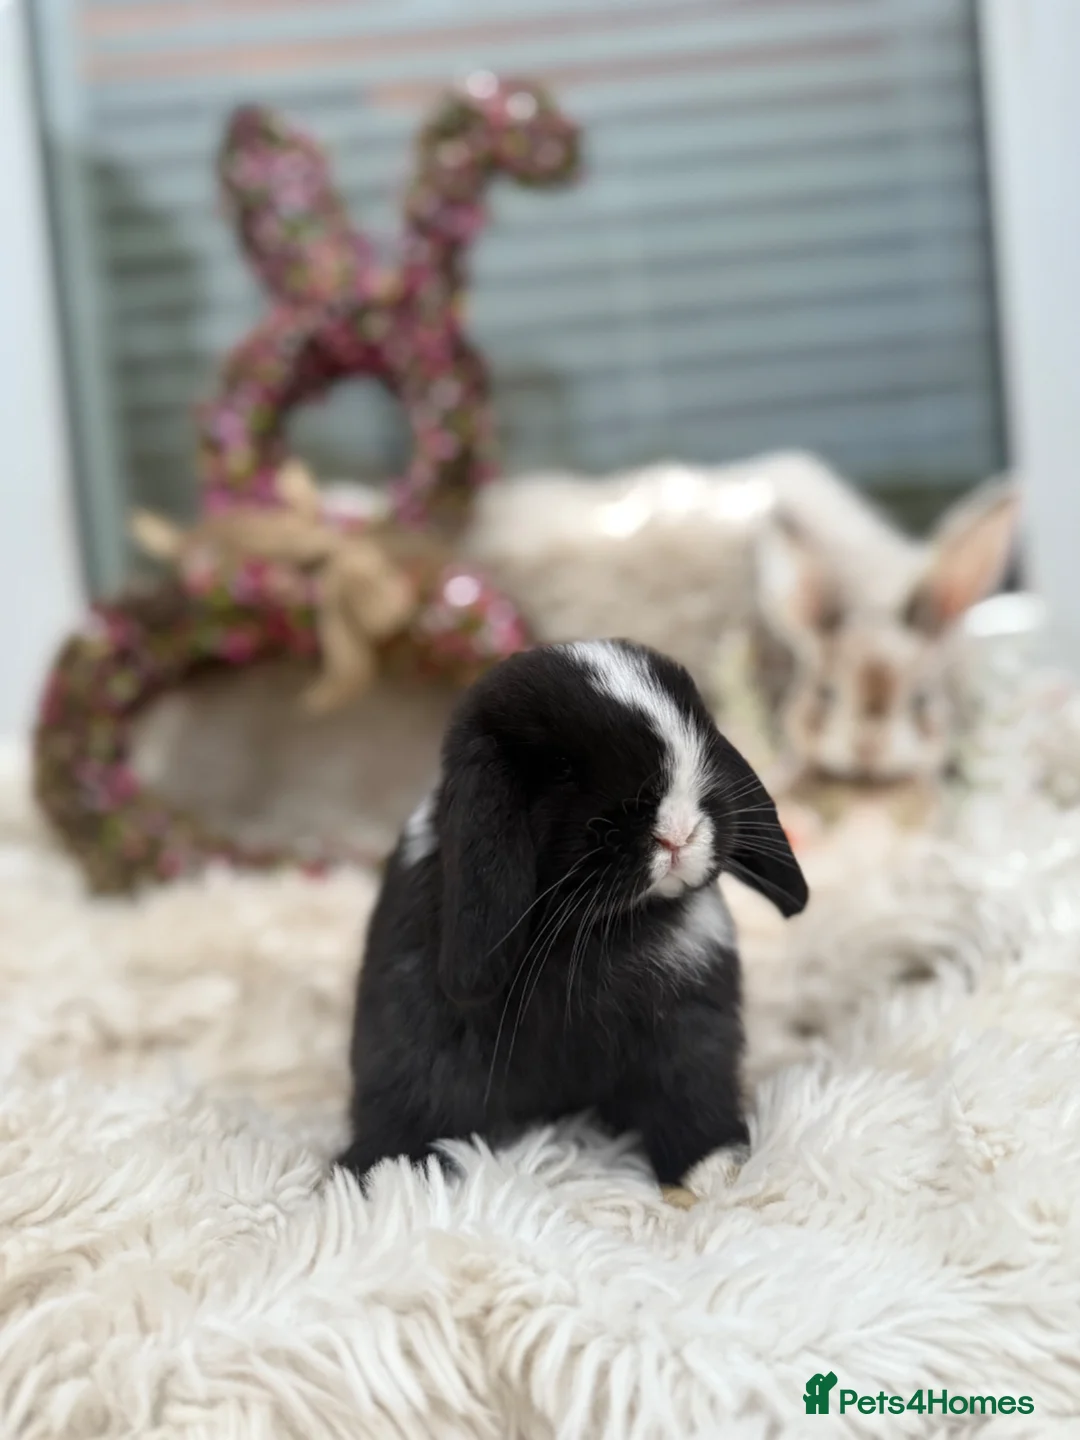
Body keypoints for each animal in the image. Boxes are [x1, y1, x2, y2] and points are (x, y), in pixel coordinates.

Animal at [337, 637, 808, 1192]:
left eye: (704, 741)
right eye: (561, 769)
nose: (679, 833)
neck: (589, 929)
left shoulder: (690, 1022)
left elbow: (691, 1090)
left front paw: (712, 1170)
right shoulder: (417, 1038)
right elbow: (413, 1098)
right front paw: (383, 1175)